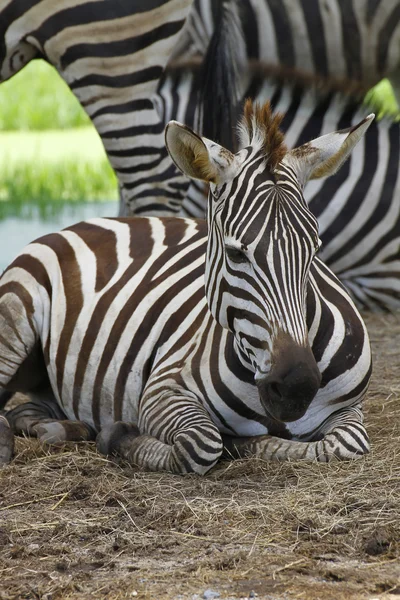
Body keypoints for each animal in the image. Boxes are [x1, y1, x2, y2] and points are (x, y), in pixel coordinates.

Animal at [0, 102, 376, 474]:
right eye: (236, 253)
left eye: (314, 250)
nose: (296, 386)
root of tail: (87, 221)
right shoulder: (162, 390)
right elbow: (203, 443)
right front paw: (121, 436)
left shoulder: (350, 408)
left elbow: (347, 443)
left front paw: (246, 443)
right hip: (15, 312)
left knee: (25, 411)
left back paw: (60, 428)